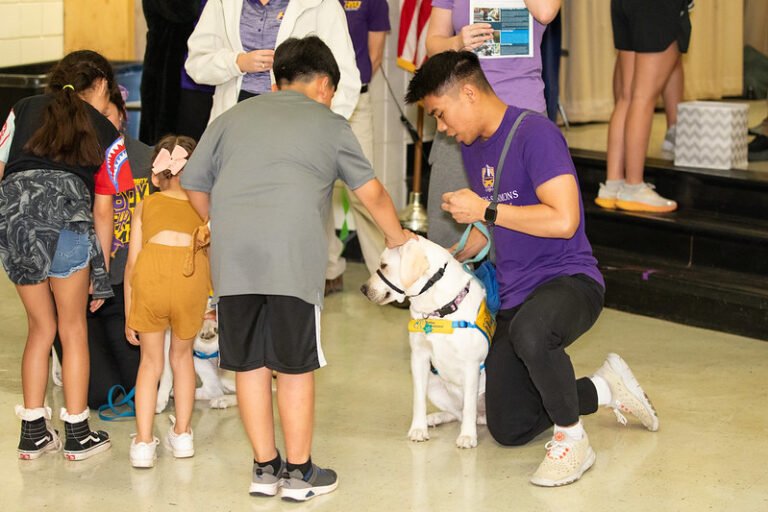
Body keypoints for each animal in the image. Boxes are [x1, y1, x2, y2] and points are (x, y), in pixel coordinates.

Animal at [360, 236, 492, 448]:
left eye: (384, 265)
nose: (363, 289)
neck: (439, 310)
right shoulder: (419, 358)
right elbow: (418, 400)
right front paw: (418, 428)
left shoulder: (471, 365)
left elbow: (469, 407)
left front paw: (467, 436)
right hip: (435, 386)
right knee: (456, 413)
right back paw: (435, 418)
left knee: (470, 412)